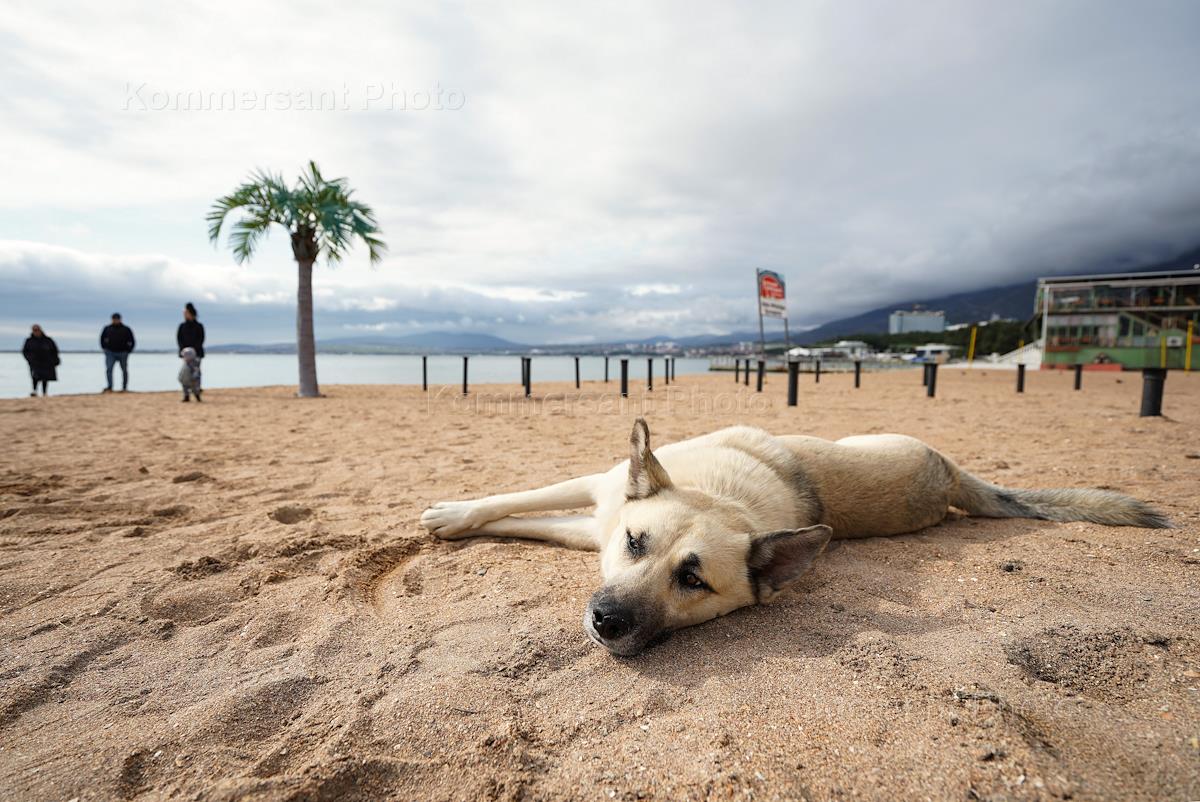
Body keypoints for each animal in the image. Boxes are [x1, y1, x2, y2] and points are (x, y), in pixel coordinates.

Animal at [420, 419, 1169, 656]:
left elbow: (529, 516)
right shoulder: (598, 502)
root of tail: (949, 475)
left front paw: (457, 520)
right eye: (635, 544)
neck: (722, 495)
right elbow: (519, 505)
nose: (606, 621)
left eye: (693, 580)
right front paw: (455, 515)